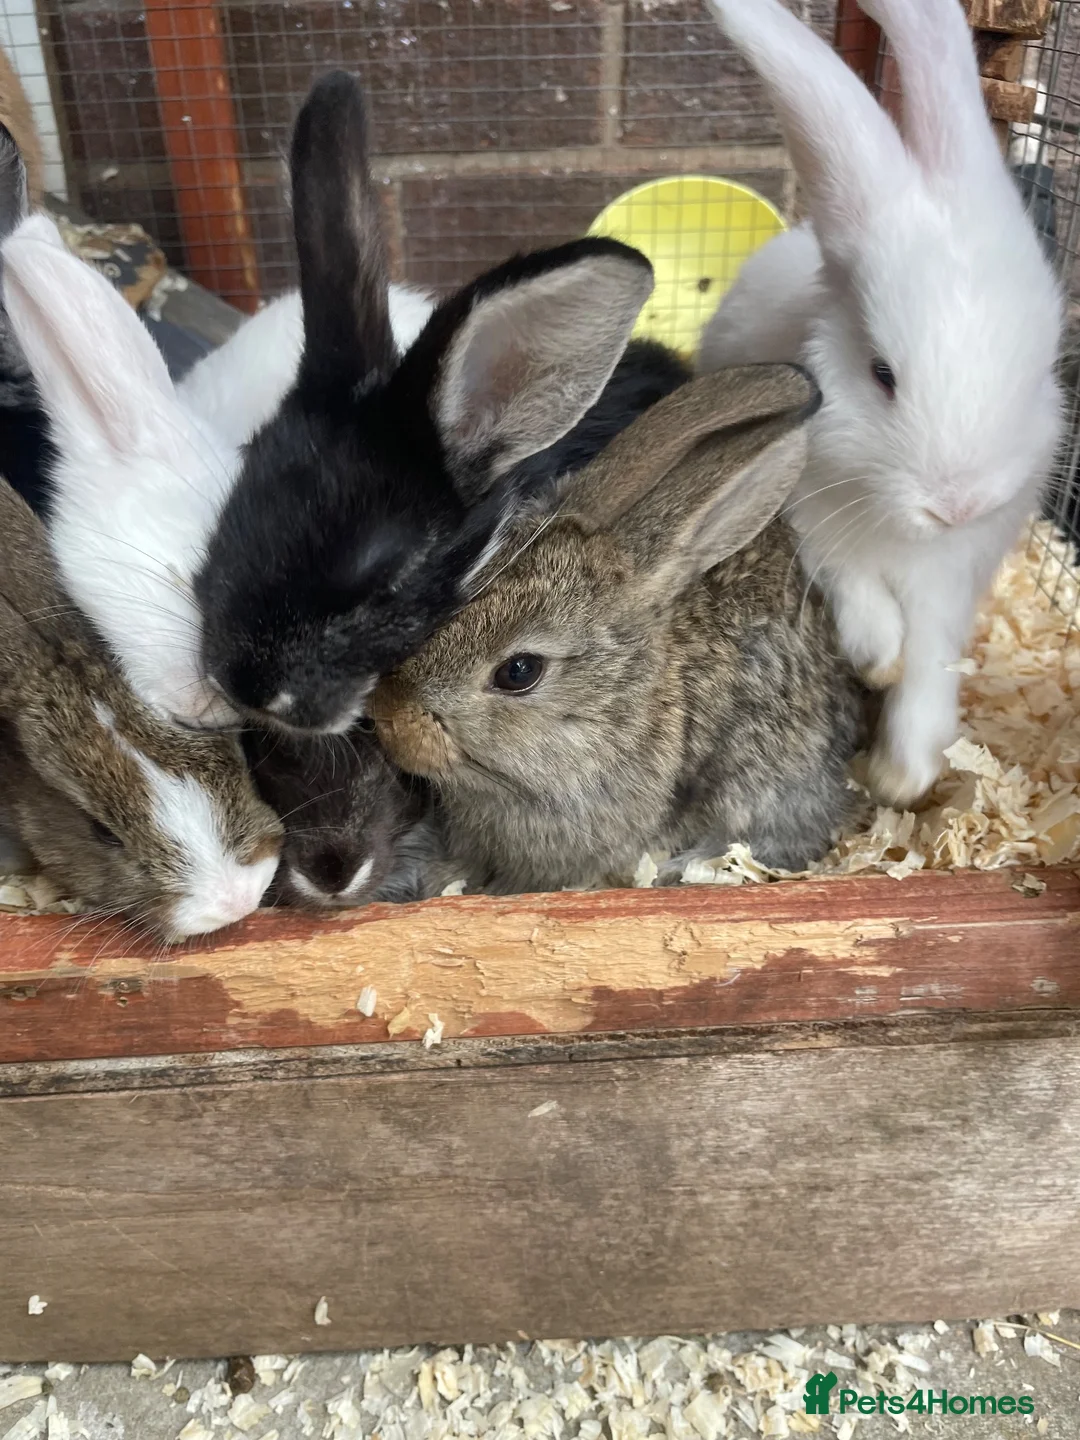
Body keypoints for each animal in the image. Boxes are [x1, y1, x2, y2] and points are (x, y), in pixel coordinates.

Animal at [696, 0, 1064, 809]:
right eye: (882, 374)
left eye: (1038, 369)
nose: (957, 505)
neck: (904, 532)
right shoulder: (809, 518)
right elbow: (859, 595)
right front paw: (877, 660)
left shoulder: (952, 580)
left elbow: (930, 665)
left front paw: (905, 773)